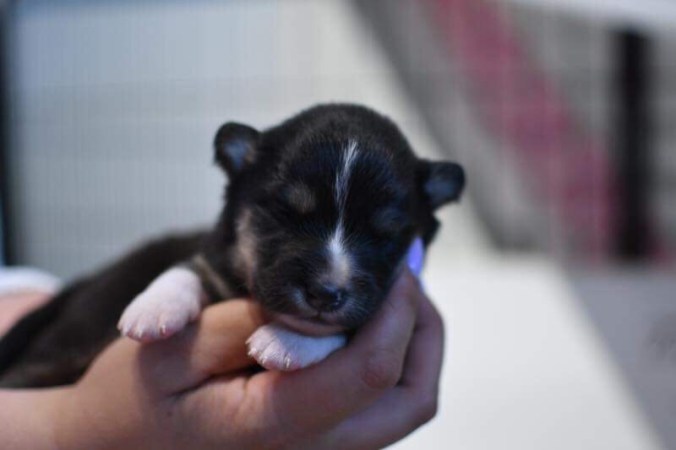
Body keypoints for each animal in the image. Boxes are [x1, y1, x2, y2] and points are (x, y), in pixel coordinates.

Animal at [0, 104, 464, 387]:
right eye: (285, 215)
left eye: (384, 235)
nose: (325, 293)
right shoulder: (212, 256)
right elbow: (188, 268)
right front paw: (152, 311)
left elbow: (343, 329)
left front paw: (285, 343)